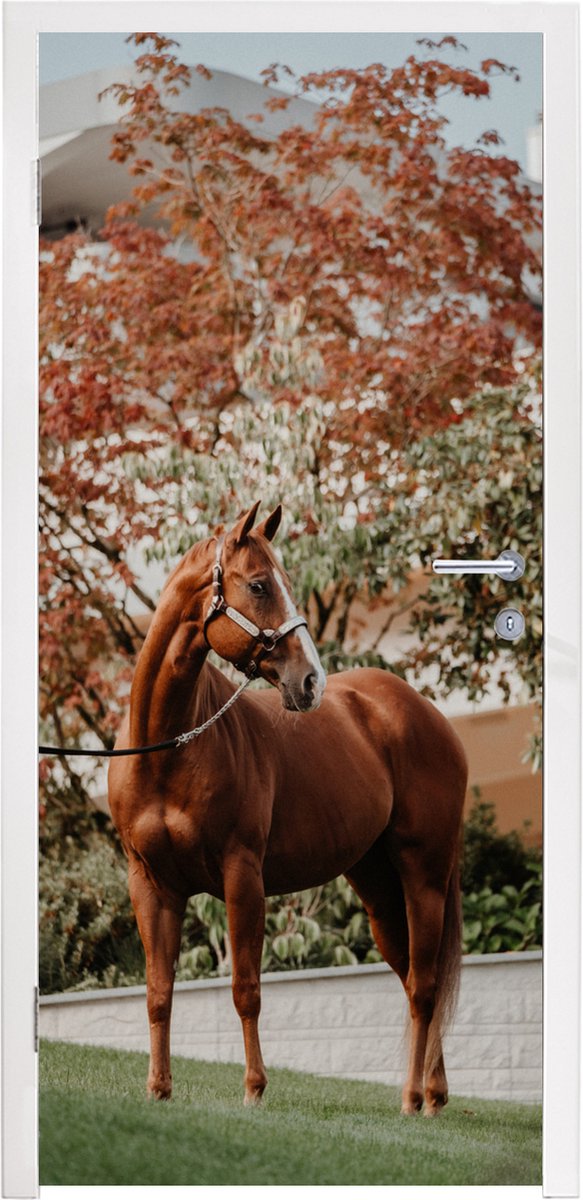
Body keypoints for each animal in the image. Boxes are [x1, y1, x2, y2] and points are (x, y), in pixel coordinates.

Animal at [108, 501, 467, 1116]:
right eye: (258, 585)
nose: (310, 682)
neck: (166, 750)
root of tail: (428, 714)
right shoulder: (151, 884)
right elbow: (158, 992)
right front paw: (158, 1088)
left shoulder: (242, 876)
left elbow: (246, 989)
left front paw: (254, 1088)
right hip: (377, 887)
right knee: (415, 977)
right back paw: (434, 1094)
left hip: (424, 876)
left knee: (424, 986)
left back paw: (411, 1098)